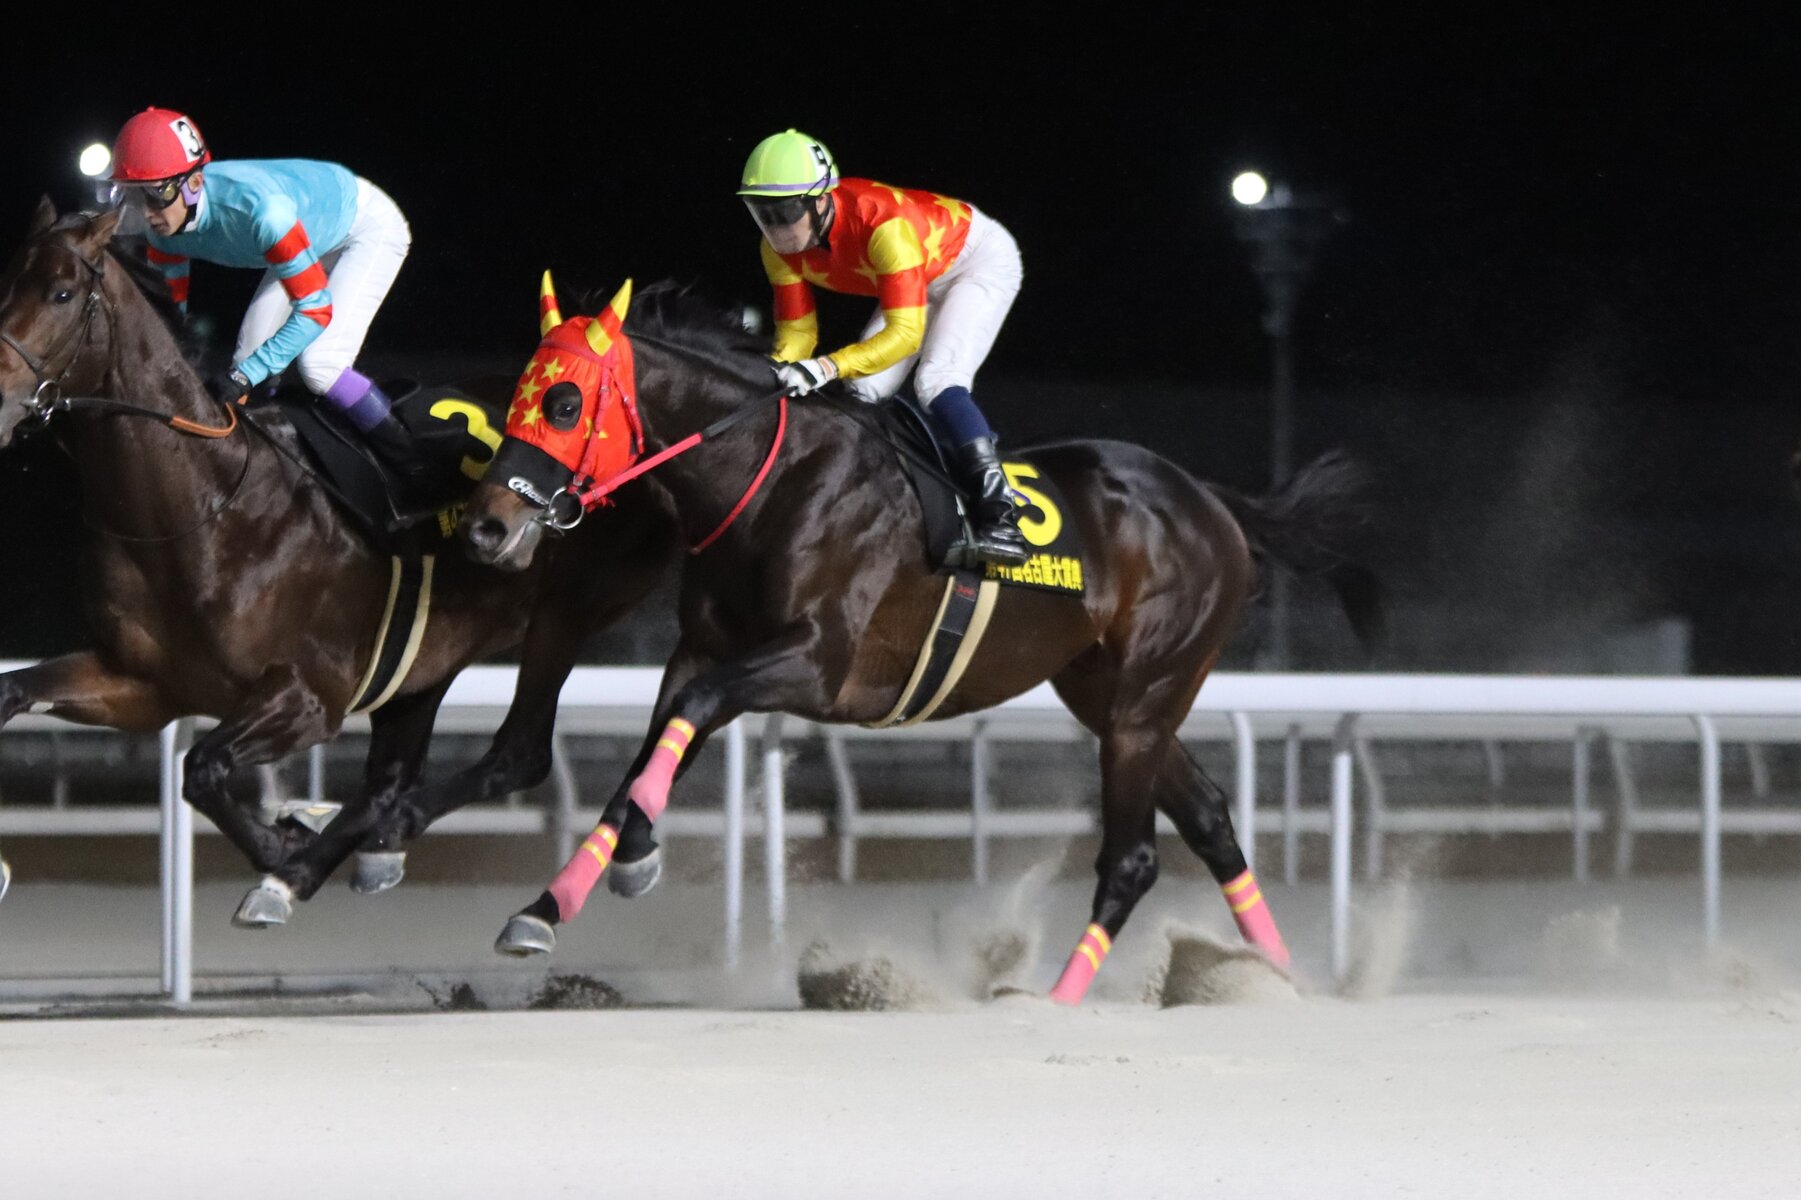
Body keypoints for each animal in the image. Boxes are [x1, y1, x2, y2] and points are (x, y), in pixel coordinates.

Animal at [0, 201, 677, 927]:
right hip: (428, 656)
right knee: (391, 780)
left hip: (563, 613)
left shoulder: (310, 696)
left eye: (62, 292)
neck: (198, 504)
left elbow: (203, 767)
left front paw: (282, 843)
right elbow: (14, 693)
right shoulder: (142, 684)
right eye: (6, 286)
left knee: (521, 751)